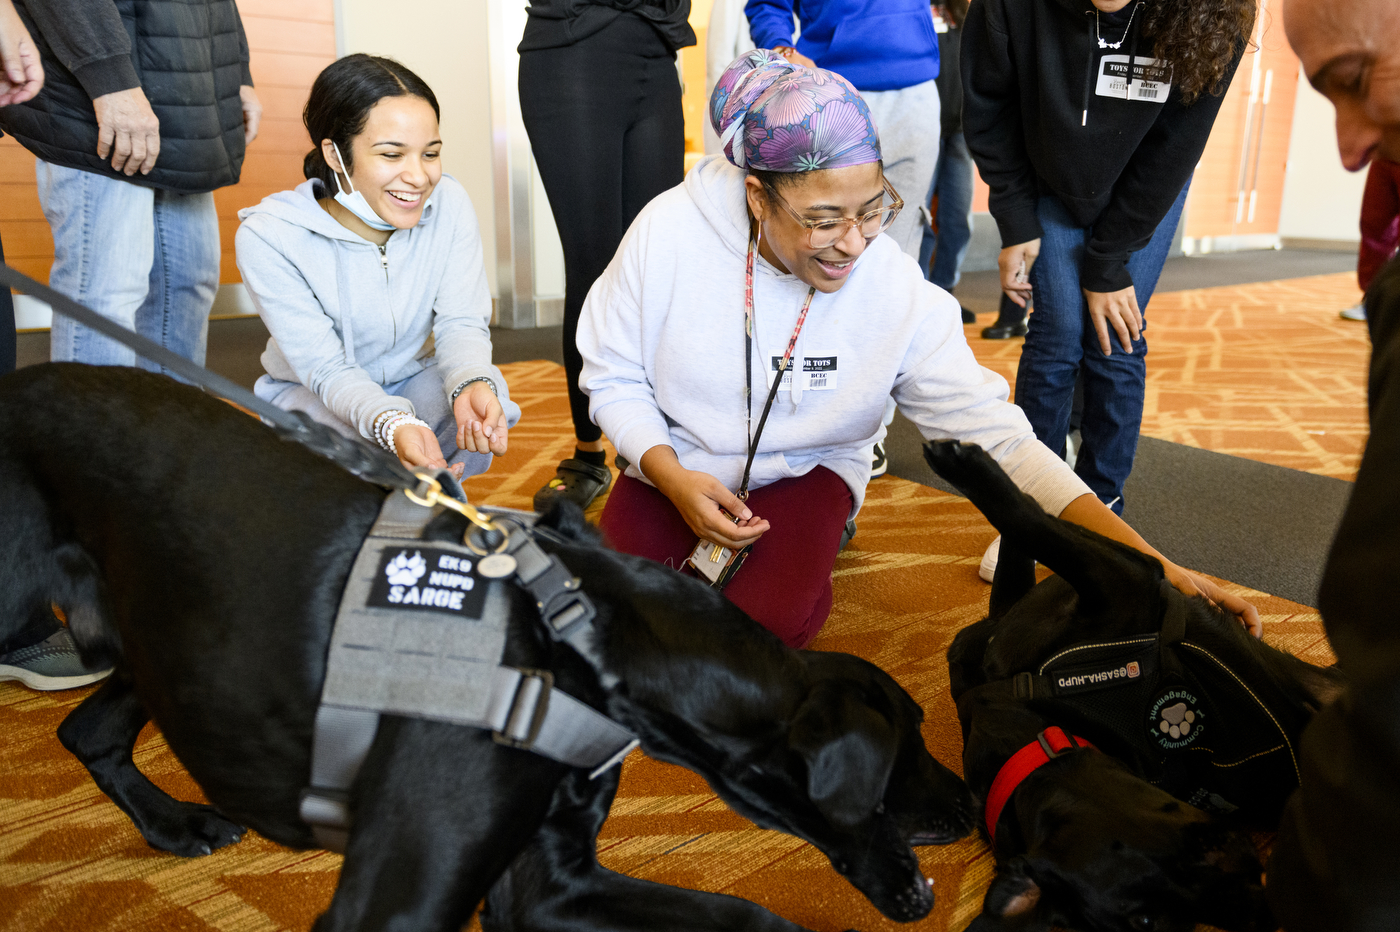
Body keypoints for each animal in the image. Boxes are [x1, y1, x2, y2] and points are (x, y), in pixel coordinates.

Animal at [0, 363, 974, 929]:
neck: (580, 634)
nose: (971, 804)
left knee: (88, 732)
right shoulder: (392, 908)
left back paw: (172, 824)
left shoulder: (553, 885)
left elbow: (753, 919)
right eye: (908, 753)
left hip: (165, 638)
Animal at [924, 439, 1338, 929]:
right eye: (1150, 922)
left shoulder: (1112, 579)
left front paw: (972, 461)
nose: (1259, 904)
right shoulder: (1129, 578)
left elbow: (1026, 527)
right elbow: (1029, 524)